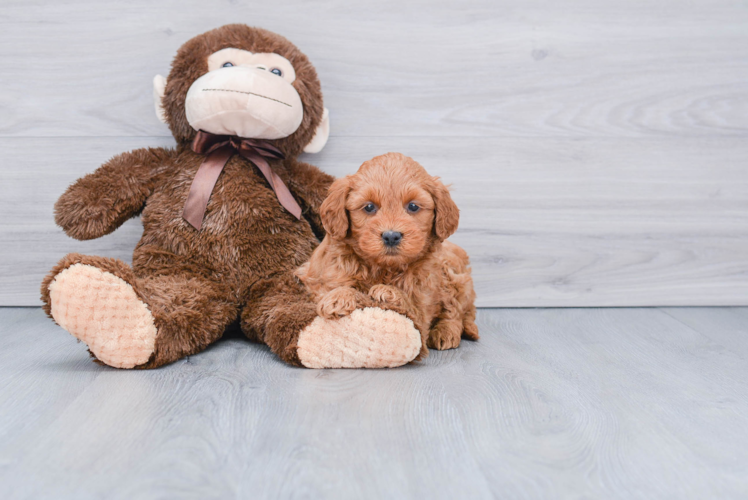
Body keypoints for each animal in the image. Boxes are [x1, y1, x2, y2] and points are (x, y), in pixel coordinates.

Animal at [294, 152, 480, 360]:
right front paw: (338, 298)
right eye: (369, 207)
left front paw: (388, 292)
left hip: (453, 275)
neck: (383, 267)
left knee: (456, 311)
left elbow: (412, 307)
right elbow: (340, 287)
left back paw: (446, 332)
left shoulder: (423, 303)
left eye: (413, 206)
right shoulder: (320, 277)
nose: (391, 236)